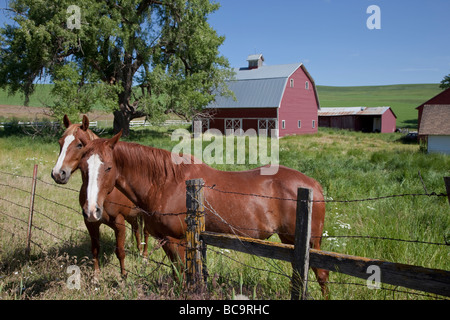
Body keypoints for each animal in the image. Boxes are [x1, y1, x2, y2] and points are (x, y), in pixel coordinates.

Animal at [51, 115, 149, 278]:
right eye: (60, 142)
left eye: (79, 145)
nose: (58, 174)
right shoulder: (91, 223)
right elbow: (95, 249)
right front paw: (96, 276)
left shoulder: (119, 223)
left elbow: (120, 251)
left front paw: (123, 276)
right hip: (132, 215)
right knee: (136, 230)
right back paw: (139, 251)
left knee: (146, 233)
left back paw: (145, 257)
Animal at [78, 130, 330, 296]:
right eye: (82, 168)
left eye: (108, 167)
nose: (91, 210)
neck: (166, 183)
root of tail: (314, 185)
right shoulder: (166, 240)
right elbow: (177, 274)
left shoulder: (177, 240)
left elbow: (183, 273)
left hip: (308, 243)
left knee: (321, 275)